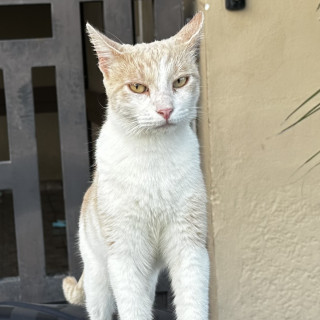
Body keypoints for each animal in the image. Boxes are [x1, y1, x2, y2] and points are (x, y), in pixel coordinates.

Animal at [62, 11, 210, 320]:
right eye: (138, 87)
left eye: (180, 82)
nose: (165, 110)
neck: (154, 157)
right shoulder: (124, 254)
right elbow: (132, 308)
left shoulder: (190, 245)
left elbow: (193, 302)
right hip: (98, 278)